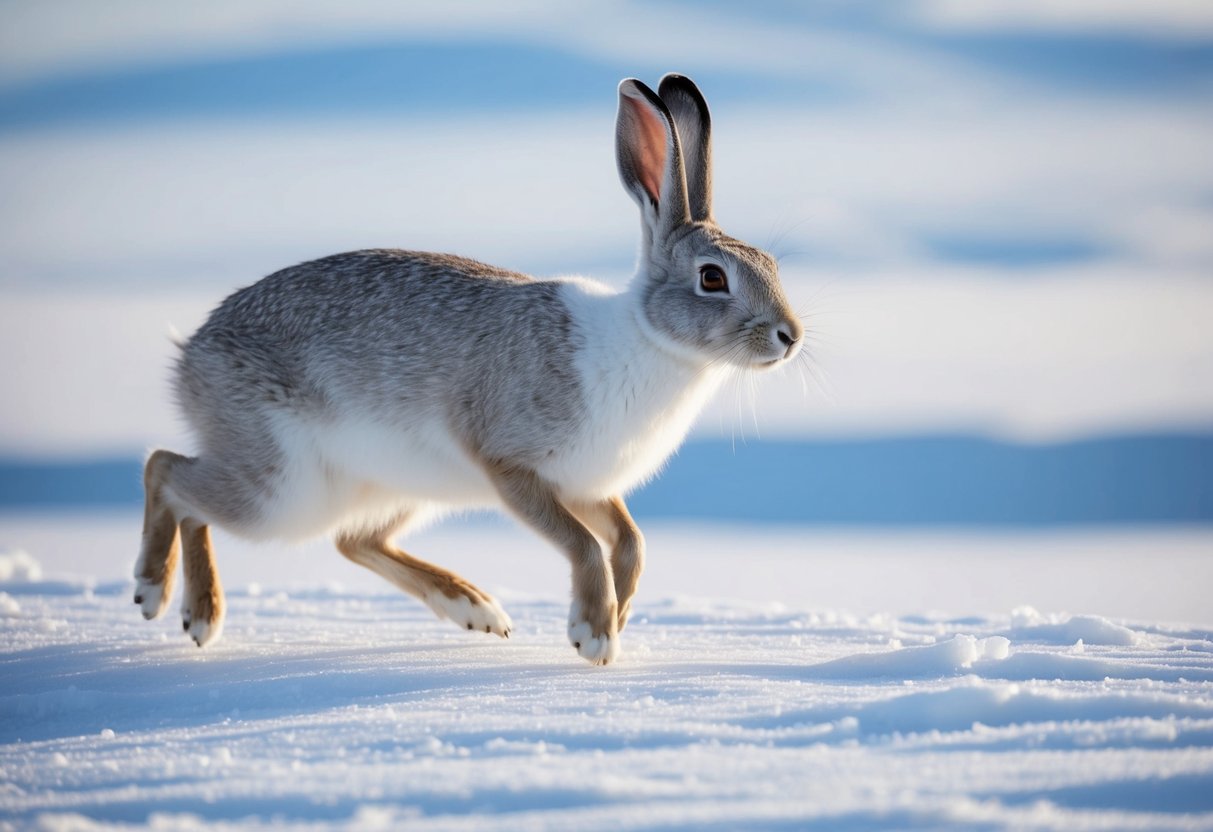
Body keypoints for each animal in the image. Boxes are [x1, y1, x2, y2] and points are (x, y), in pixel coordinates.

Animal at [135, 73, 803, 665]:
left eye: (771, 265)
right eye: (712, 278)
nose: (789, 337)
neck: (649, 336)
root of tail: (190, 356)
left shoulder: (583, 485)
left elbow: (631, 543)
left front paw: (623, 610)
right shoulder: (510, 466)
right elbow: (585, 545)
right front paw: (593, 636)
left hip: (387, 487)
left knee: (348, 538)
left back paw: (472, 609)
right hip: (283, 485)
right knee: (169, 473)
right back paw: (168, 599)